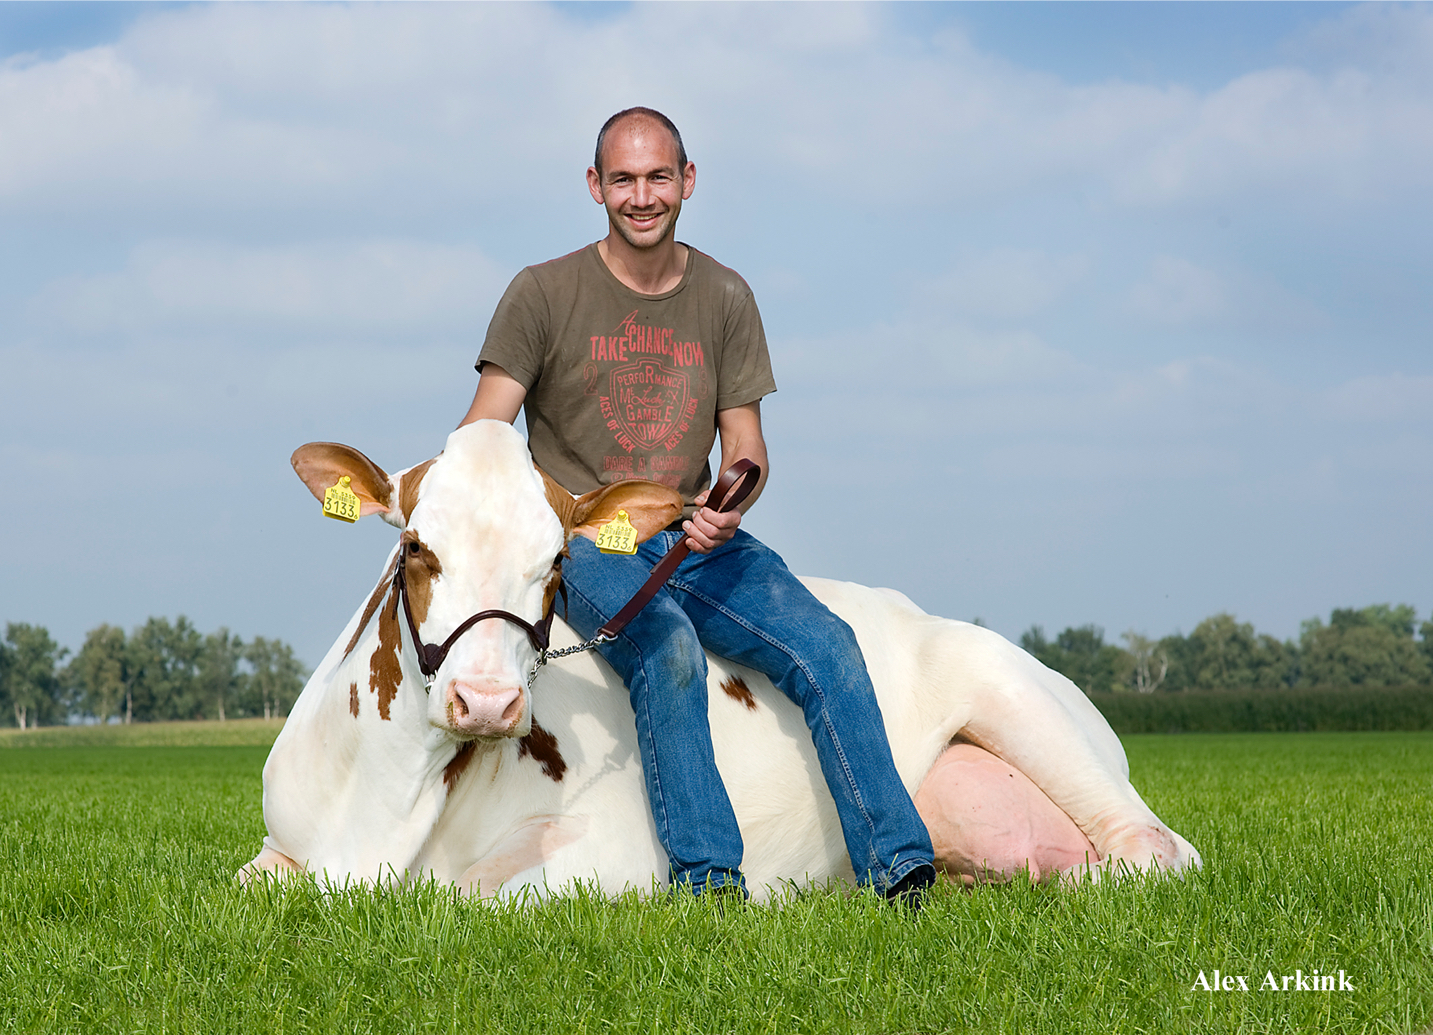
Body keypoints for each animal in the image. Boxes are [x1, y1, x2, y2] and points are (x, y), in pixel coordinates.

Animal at [246, 418, 1197, 894]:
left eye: (555, 561)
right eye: (412, 545)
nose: (485, 701)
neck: (384, 806)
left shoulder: (605, 852)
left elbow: (460, 890)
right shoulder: (278, 847)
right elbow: (260, 882)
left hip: (1016, 698)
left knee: (1154, 851)